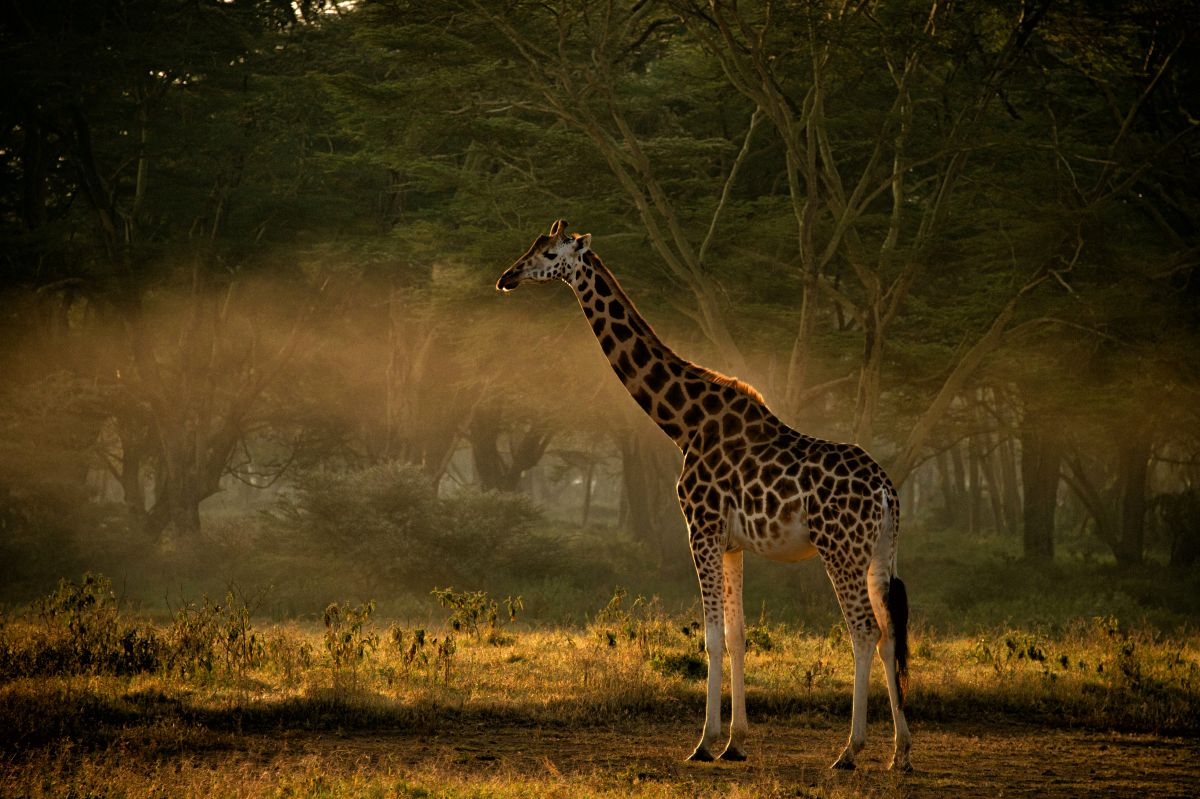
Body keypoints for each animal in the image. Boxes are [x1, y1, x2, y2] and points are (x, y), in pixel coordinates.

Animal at [495, 219, 912, 771]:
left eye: (548, 252)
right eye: (531, 246)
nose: (506, 277)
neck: (684, 423)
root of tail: (887, 491)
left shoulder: (701, 528)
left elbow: (712, 636)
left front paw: (704, 743)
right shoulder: (733, 542)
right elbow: (737, 636)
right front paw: (735, 742)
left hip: (839, 549)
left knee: (865, 631)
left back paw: (850, 750)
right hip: (878, 551)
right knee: (890, 633)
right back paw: (901, 752)